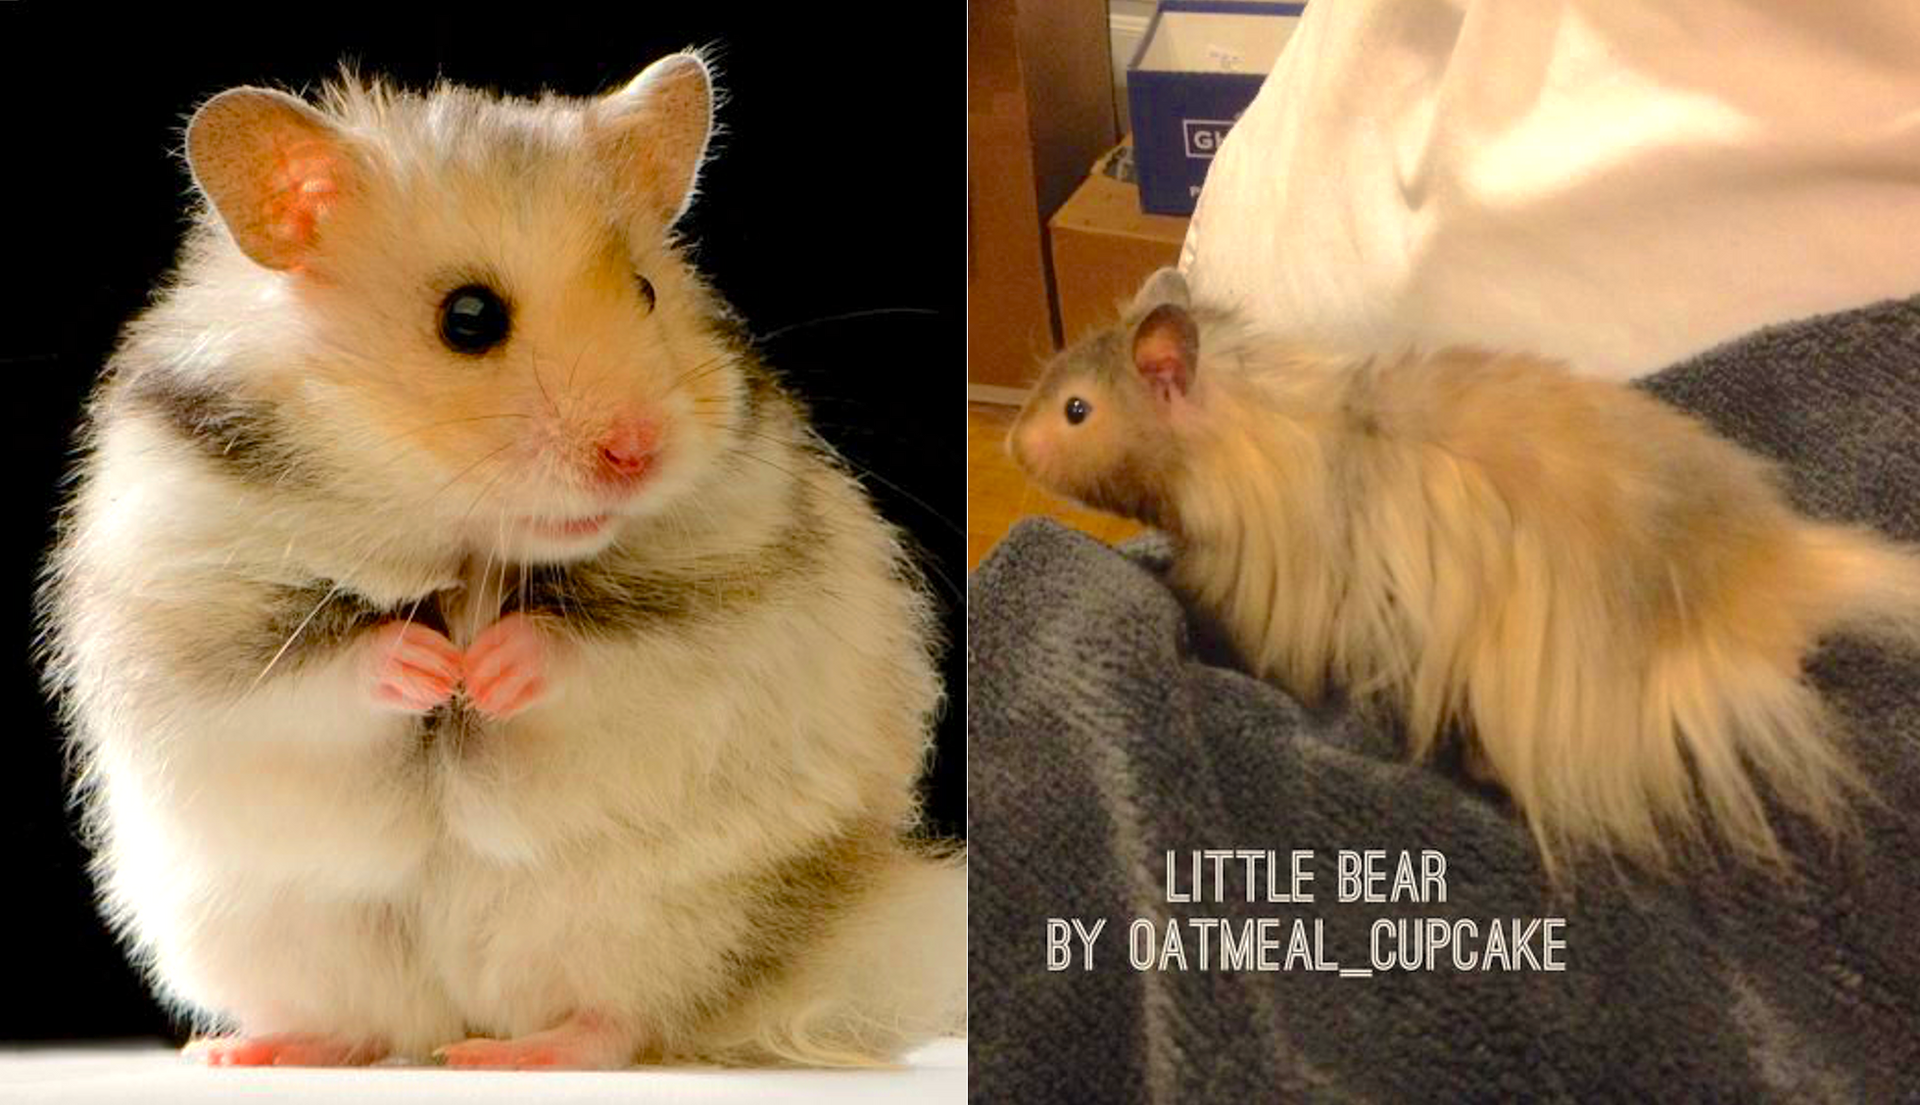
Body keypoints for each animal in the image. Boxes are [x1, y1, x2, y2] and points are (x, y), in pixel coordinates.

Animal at [38, 54, 964, 1068]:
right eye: (469, 317)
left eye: (646, 291)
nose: (638, 452)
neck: (471, 536)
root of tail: (458, 1012)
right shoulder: (199, 610)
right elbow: (312, 670)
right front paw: (434, 666)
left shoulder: (719, 610)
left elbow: (598, 654)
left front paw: (486, 671)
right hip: (268, 928)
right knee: (364, 1024)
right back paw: (252, 1051)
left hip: (663, 919)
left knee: (625, 1017)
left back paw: (515, 1053)